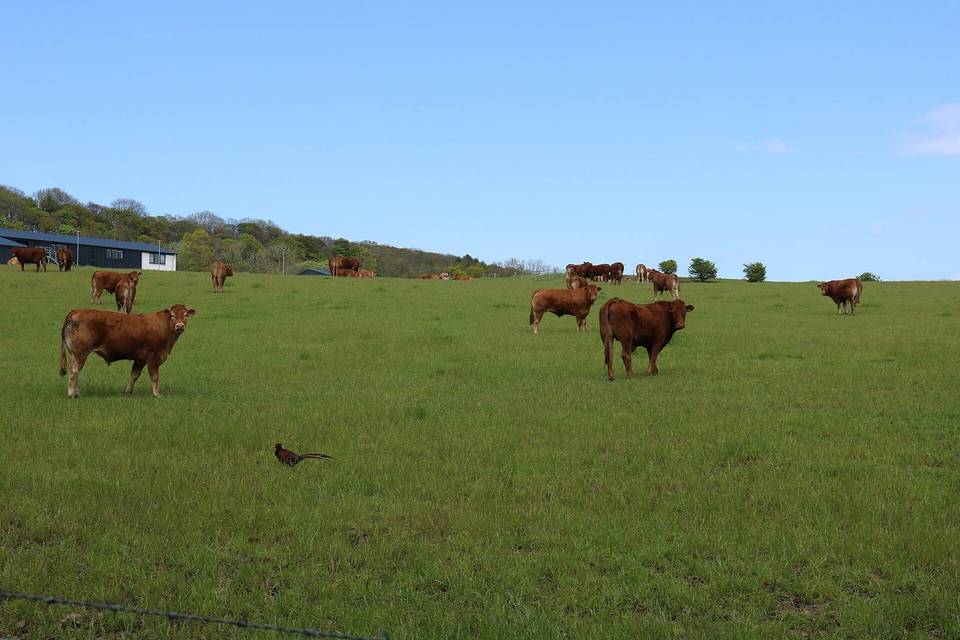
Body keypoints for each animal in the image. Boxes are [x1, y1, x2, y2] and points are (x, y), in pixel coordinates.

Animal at [58, 304, 196, 398]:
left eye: (185, 315)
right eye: (172, 315)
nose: (180, 326)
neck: (164, 327)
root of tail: (76, 311)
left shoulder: (140, 359)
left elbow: (134, 375)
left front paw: (128, 392)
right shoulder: (153, 358)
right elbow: (154, 377)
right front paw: (157, 394)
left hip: (76, 354)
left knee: (76, 371)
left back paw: (76, 392)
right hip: (80, 353)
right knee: (74, 370)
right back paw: (72, 394)